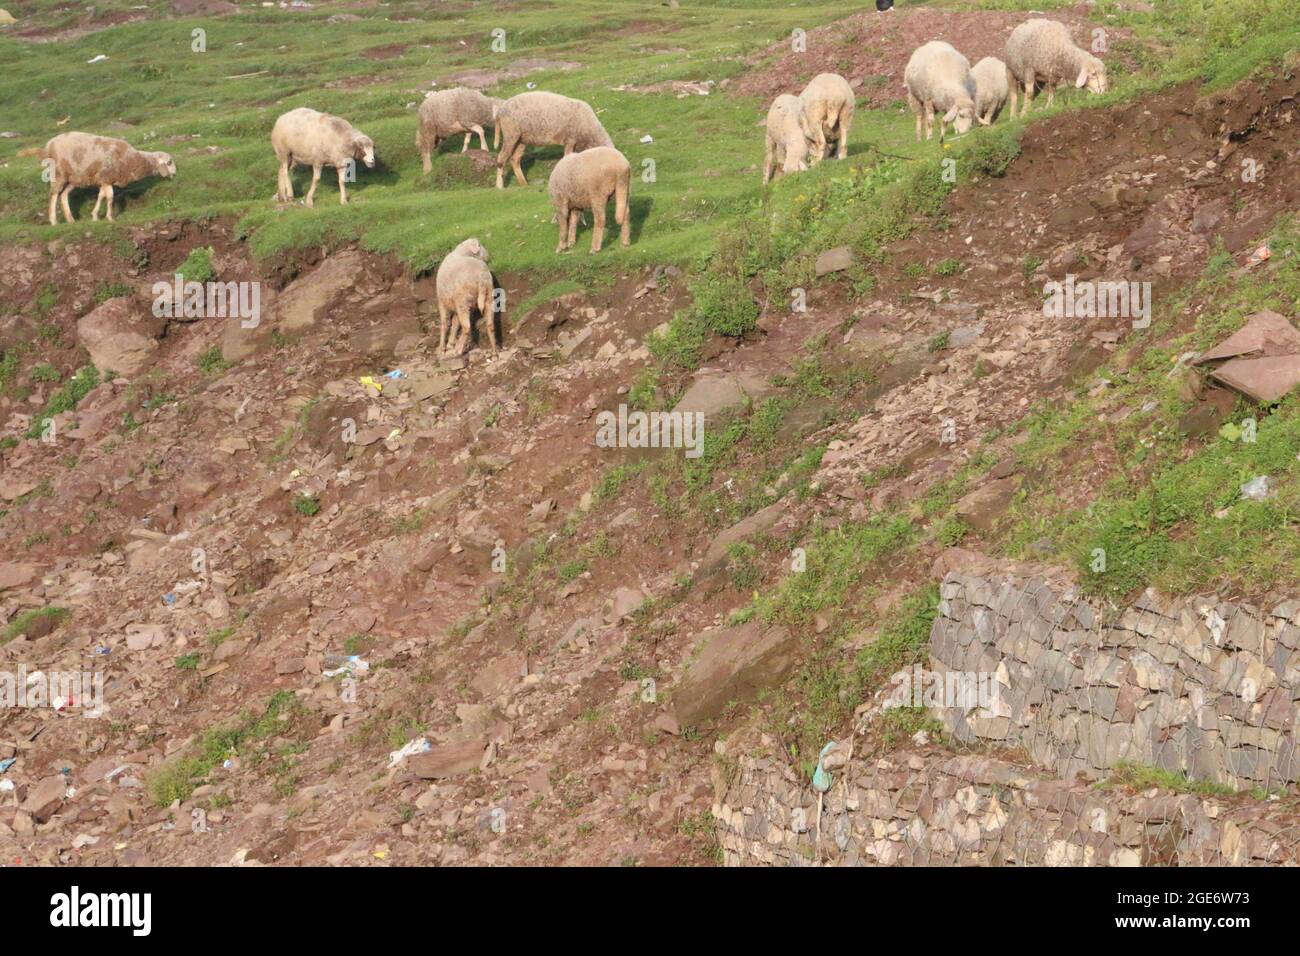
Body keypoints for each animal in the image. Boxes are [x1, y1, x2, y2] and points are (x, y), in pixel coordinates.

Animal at [39, 132, 176, 225]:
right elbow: (109, 197)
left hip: (74, 178)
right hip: (59, 173)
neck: (132, 159)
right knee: (53, 194)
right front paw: (110, 217)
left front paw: (95, 216)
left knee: (63, 195)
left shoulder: (104, 180)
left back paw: (70, 219)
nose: (174, 174)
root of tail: (49, 144)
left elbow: (101, 196)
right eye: (169, 162)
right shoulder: (107, 177)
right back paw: (53, 221)